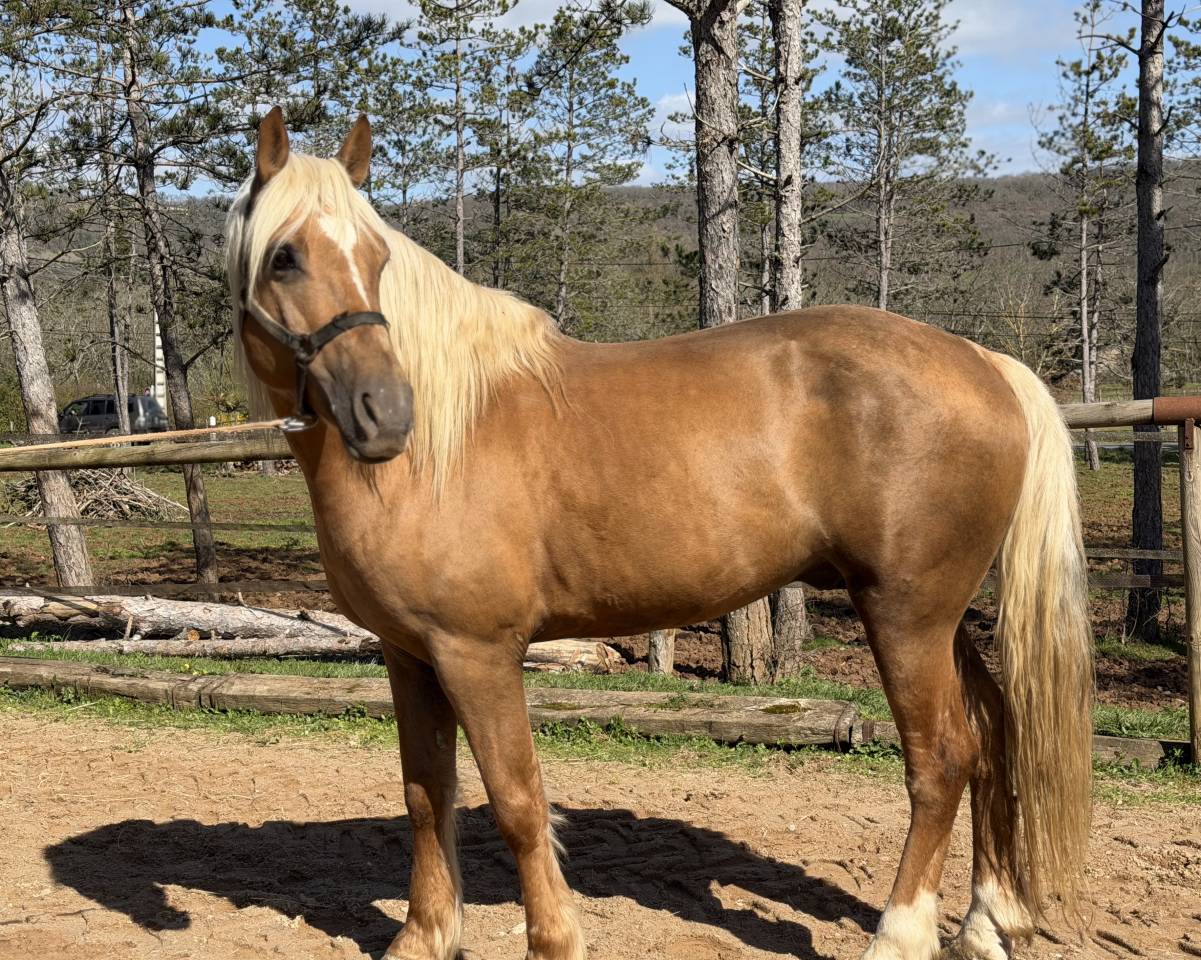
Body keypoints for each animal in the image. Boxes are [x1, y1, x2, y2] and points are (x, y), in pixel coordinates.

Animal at [225, 107, 1093, 960]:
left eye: (374, 256)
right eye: (284, 257)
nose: (384, 413)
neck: (444, 440)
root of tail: (983, 360)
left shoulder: (477, 653)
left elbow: (516, 799)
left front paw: (554, 941)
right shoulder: (409, 653)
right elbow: (424, 793)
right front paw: (422, 937)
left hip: (904, 615)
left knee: (940, 759)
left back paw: (898, 935)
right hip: (936, 618)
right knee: (991, 734)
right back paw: (984, 923)